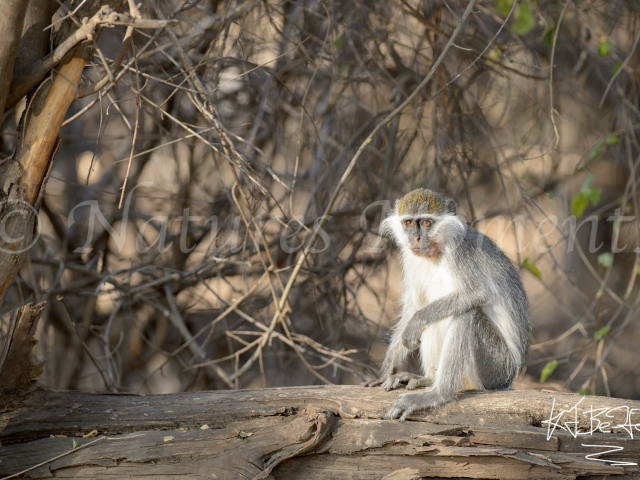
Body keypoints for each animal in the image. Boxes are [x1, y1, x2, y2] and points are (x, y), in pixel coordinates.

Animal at [363, 188, 530, 421]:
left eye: (426, 223)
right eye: (408, 223)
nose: (416, 238)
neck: (438, 249)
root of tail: (510, 378)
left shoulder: (460, 252)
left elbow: (477, 293)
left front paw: (415, 323)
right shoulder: (410, 258)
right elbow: (415, 305)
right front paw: (388, 368)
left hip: (497, 368)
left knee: (467, 316)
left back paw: (438, 393)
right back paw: (428, 379)